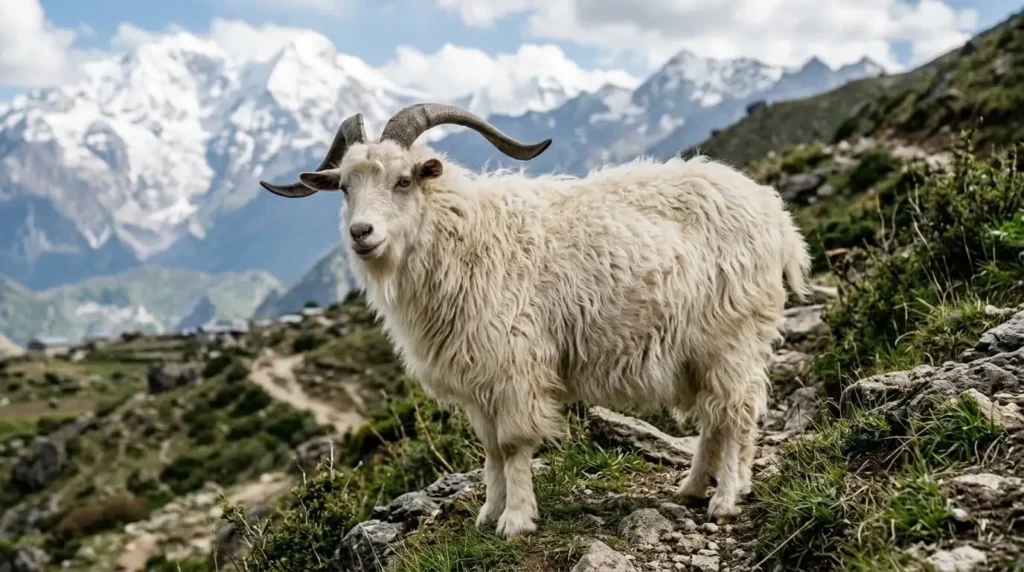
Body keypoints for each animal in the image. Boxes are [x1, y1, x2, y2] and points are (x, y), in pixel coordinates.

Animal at [260, 103, 812, 538]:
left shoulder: (515, 365)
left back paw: (726, 498)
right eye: (344, 186)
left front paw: (516, 520)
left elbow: (512, 444)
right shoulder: (479, 377)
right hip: (699, 350)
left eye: (403, 180)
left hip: (732, 338)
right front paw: (489, 512)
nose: (362, 233)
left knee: (737, 413)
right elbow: (489, 450)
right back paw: (692, 488)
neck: (464, 236)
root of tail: (775, 215)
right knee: (715, 418)